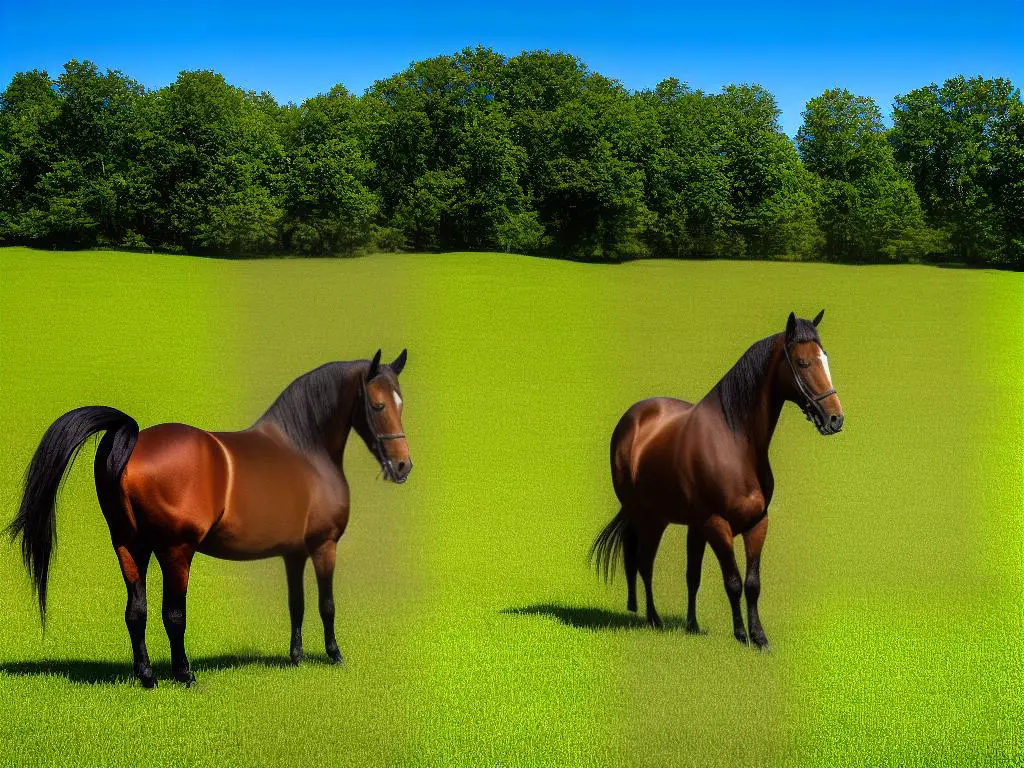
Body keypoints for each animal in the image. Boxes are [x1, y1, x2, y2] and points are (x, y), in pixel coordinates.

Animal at [8, 352, 409, 688]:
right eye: (378, 404)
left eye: (402, 403)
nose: (403, 466)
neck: (305, 450)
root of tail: (133, 438)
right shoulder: (324, 545)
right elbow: (327, 604)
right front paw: (334, 656)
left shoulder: (293, 552)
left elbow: (297, 603)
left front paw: (295, 657)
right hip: (175, 551)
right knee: (173, 614)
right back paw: (185, 675)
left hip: (128, 545)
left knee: (135, 611)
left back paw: (148, 677)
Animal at [593, 313, 839, 651]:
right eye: (803, 363)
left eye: (824, 357)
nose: (835, 419)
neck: (734, 443)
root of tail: (632, 418)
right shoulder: (717, 524)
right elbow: (733, 582)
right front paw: (740, 635)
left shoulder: (756, 523)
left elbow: (750, 583)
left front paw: (758, 637)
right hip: (650, 518)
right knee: (644, 563)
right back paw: (653, 619)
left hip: (681, 524)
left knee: (680, 571)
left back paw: (683, 622)